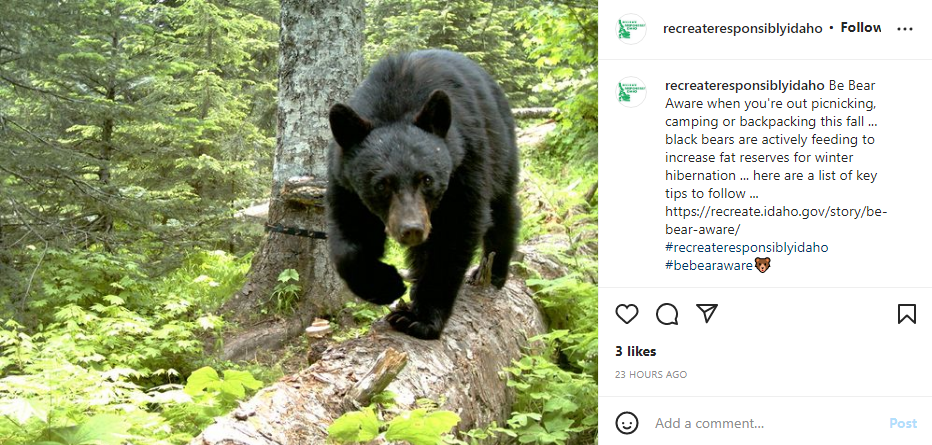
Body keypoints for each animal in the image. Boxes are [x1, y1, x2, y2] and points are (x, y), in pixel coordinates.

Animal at [326, 50, 520, 340]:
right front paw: (387, 284)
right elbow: (349, 235)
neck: (395, 102)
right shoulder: (344, 180)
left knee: (503, 207)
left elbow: (455, 229)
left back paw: (492, 272)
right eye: (381, 185)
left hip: (500, 143)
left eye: (426, 179)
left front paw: (420, 319)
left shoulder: (465, 161)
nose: (412, 229)